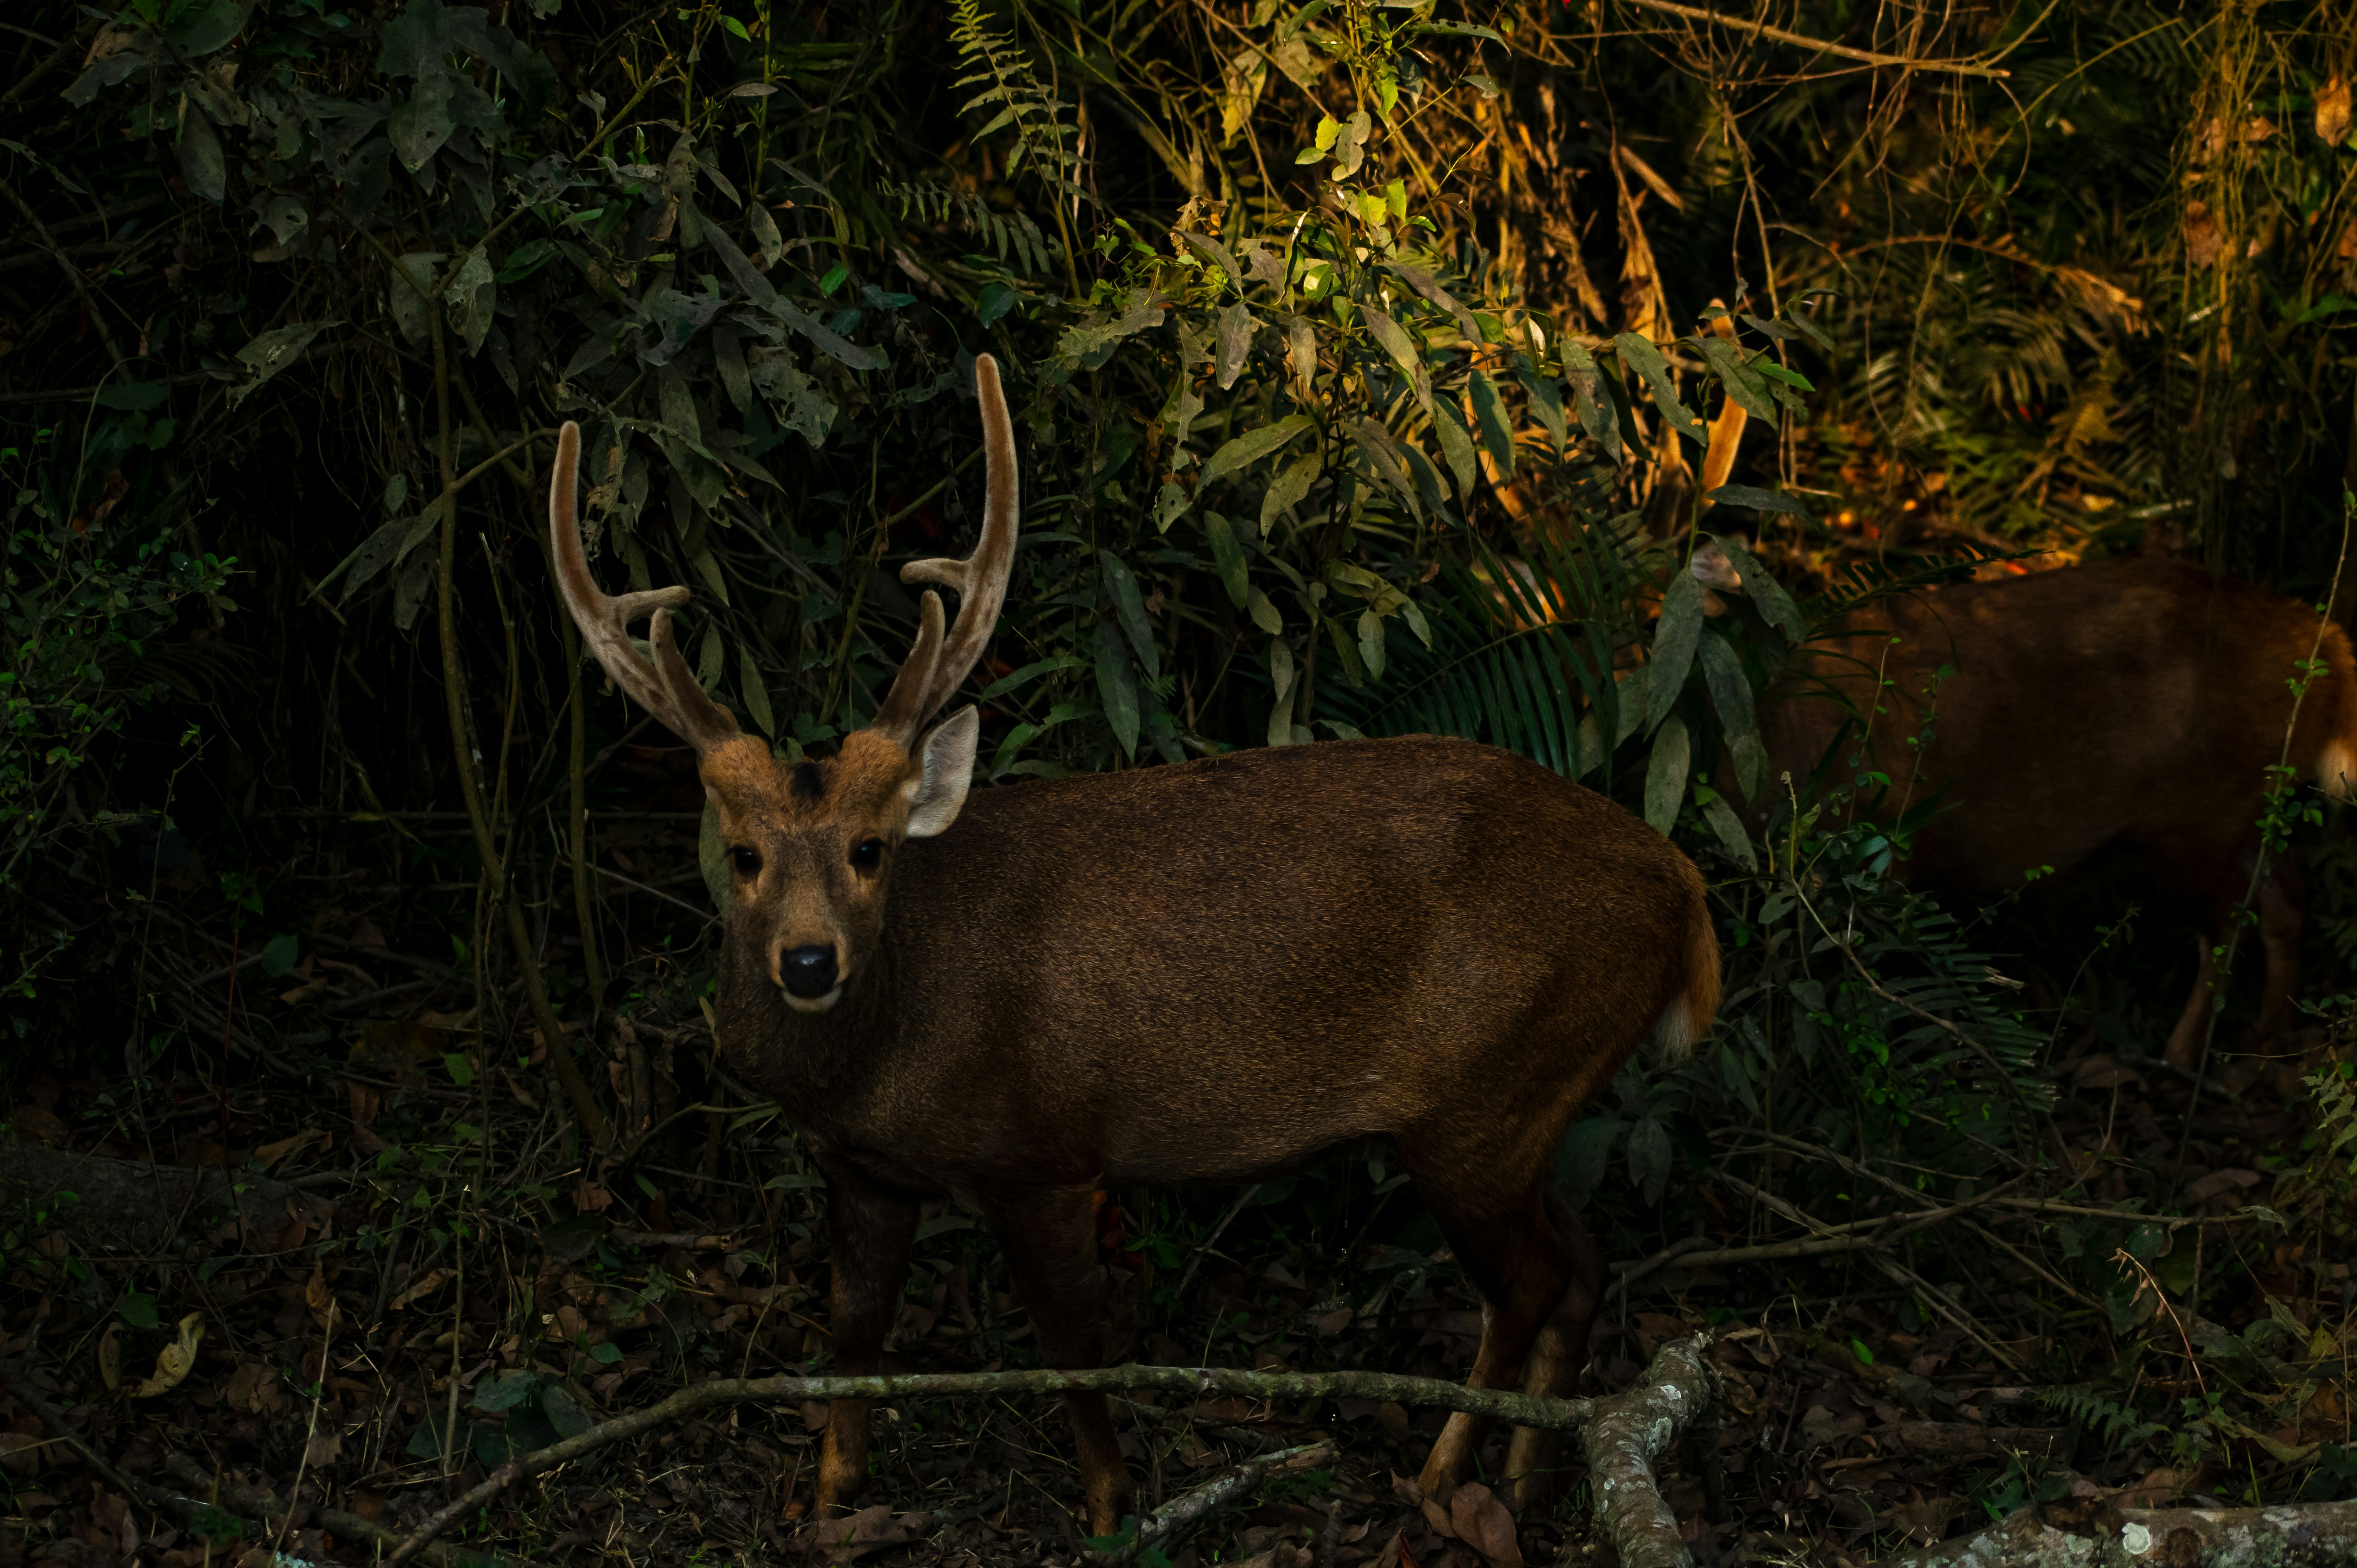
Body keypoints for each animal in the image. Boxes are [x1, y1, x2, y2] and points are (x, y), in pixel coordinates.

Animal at [548, 354, 1724, 1534]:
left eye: (870, 848)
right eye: (744, 854)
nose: (806, 961)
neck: (886, 1054)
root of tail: (1684, 892)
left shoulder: (1044, 1151)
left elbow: (1075, 1347)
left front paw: (1114, 1506)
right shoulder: (863, 1169)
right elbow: (853, 1332)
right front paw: (834, 1500)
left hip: (1483, 1091)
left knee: (1528, 1280)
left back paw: (1442, 1478)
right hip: (1530, 1104)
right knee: (1582, 1262)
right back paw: (1527, 1478)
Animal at [1727, 555, 2357, 1068]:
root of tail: (2327, 646)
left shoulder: (1873, 853)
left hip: (2194, 816)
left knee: (2230, 921)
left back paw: (2180, 1055)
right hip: (2241, 807)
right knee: (2286, 895)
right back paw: (2264, 1035)